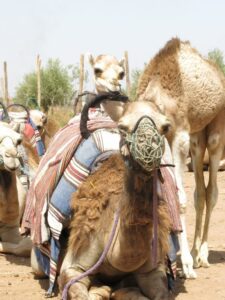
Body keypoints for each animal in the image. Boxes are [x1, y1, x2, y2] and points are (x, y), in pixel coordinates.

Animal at [135, 38, 225, 278]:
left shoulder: (179, 136)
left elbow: (178, 199)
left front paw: (184, 264)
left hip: (216, 127)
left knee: (212, 190)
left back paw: (201, 256)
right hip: (197, 136)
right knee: (200, 193)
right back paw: (195, 252)